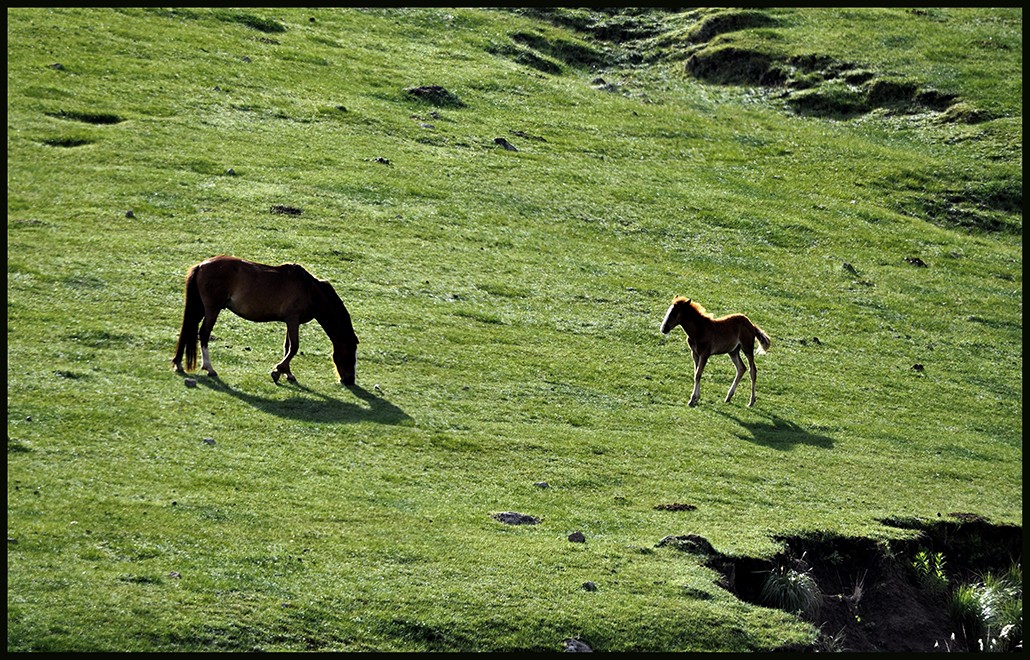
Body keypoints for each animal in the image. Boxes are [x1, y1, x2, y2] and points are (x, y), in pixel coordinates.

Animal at [170, 255, 360, 383]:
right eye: (351, 352)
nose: (349, 380)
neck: (310, 290)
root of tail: (201, 266)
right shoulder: (293, 319)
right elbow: (294, 347)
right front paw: (277, 371)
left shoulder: (290, 321)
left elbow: (287, 347)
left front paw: (287, 373)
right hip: (212, 309)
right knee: (204, 333)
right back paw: (209, 368)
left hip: (200, 308)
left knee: (188, 328)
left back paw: (178, 364)